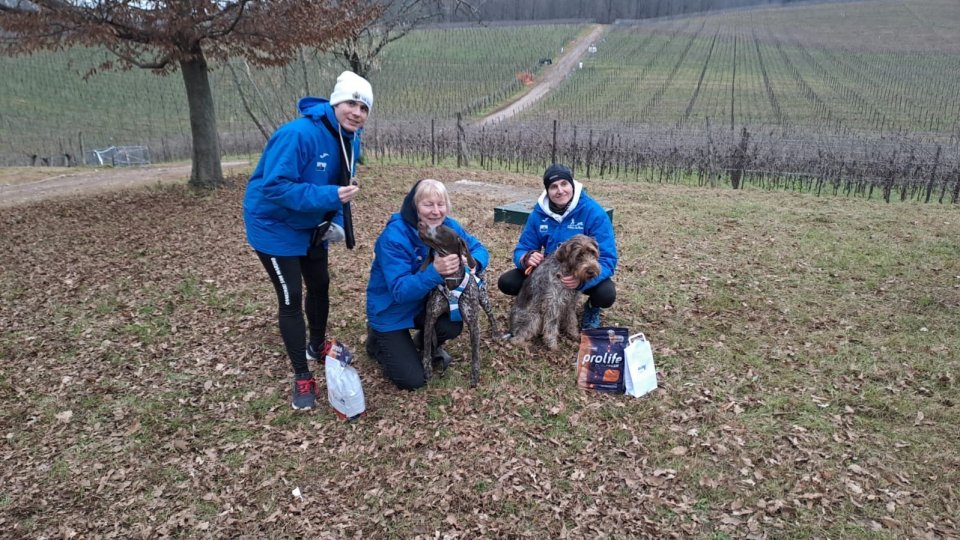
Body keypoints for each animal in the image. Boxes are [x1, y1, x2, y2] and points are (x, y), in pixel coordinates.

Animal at [416, 221, 498, 386]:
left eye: (440, 227)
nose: (420, 223)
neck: (451, 280)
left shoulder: (473, 323)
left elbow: (475, 355)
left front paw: (475, 376)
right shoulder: (430, 318)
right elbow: (427, 347)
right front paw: (427, 368)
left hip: (484, 299)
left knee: (491, 316)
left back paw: (495, 333)